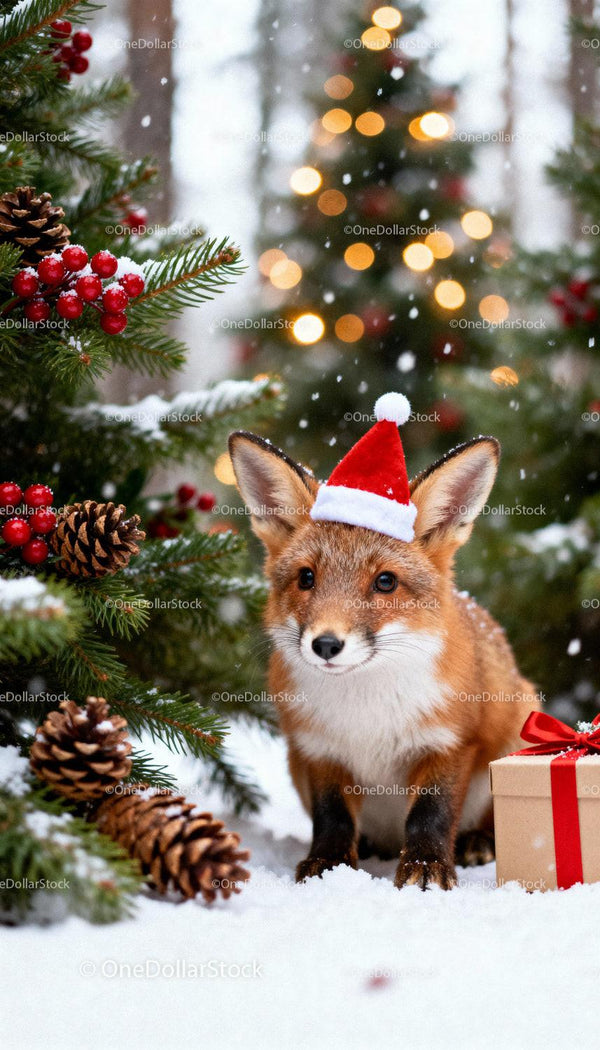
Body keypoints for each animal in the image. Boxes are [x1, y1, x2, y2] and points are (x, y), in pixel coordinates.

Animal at [229, 395, 539, 891]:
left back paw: (476, 841)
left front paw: (427, 866)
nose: (326, 645)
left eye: (386, 582)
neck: (366, 709)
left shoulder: (449, 742)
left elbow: (431, 813)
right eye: (307, 578)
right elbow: (332, 817)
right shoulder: (318, 751)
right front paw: (328, 866)